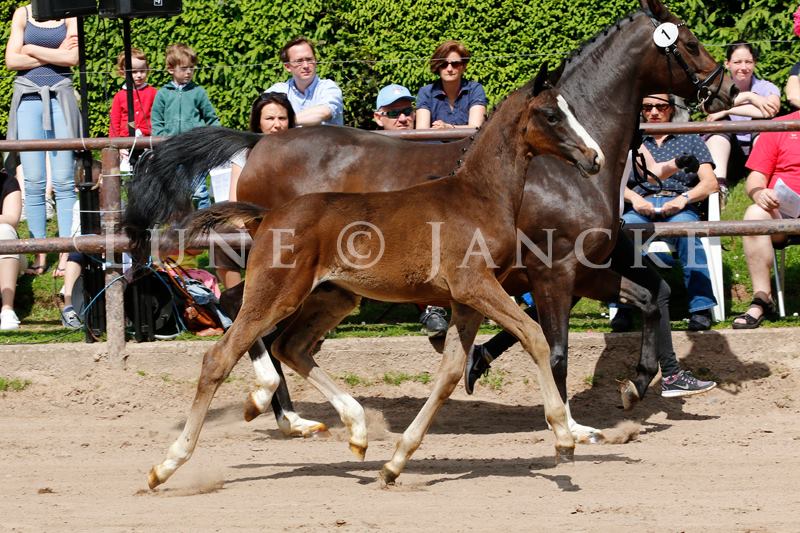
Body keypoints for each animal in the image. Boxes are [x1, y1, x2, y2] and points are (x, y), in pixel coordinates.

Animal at [147, 68, 604, 488]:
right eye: (551, 115)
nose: (594, 156)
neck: (480, 197)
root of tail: (265, 218)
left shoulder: (465, 299)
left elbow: (451, 373)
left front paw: (396, 462)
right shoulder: (477, 285)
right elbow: (536, 337)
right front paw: (564, 436)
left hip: (332, 297)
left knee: (290, 347)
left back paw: (356, 429)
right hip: (278, 291)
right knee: (222, 356)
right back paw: (168, 464)